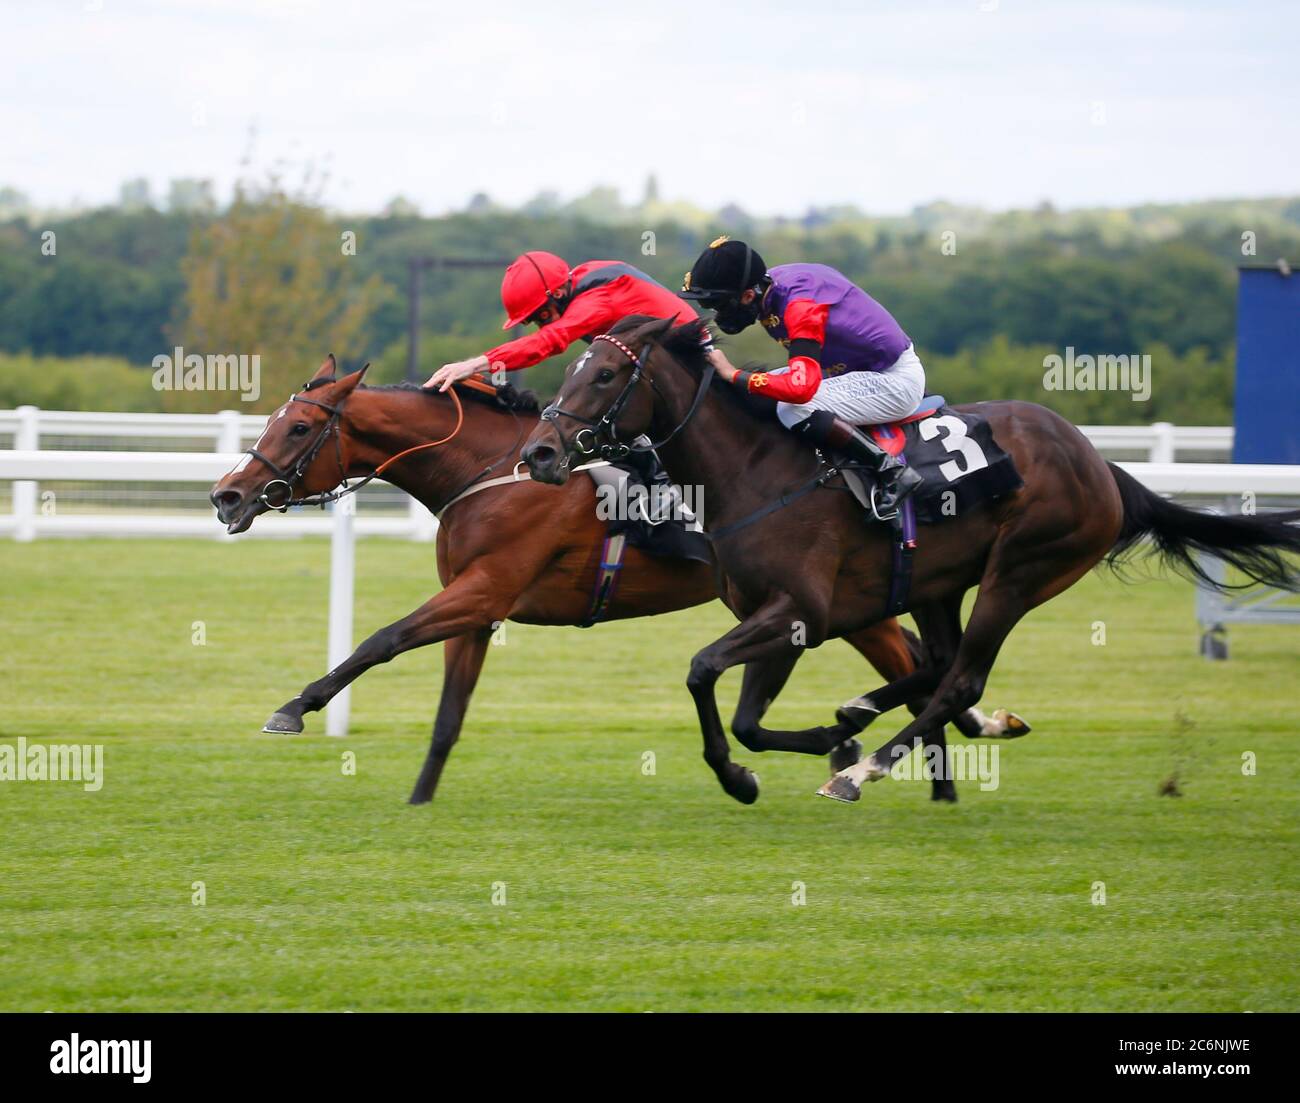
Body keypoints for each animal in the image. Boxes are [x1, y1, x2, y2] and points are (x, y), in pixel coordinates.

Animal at [208, 356, 1019, 806]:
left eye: (297, 428)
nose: (226, 495)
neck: (493, 468)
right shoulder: (478, 610)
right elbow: (447, 717)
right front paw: (419, 800)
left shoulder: (485, 589)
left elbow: (382, 638)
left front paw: (294, 707)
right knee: (920, 661)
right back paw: (929, 763)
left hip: (835, 601)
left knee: (918, 661)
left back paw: (892, 760)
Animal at [520, 314, 1300, 806]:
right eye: (573, 368)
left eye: (606, 374)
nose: (540, 454)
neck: (756, 469)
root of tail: (1100, 465)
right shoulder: (789, 619)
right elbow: (744, 719)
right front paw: (800, 746)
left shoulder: (798, 610)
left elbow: (702, 669)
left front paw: (772, 767)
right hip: (937, 582)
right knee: (943, 665)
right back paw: (865, 715)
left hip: (1021, 570)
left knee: (962, 678)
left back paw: (859, 770)